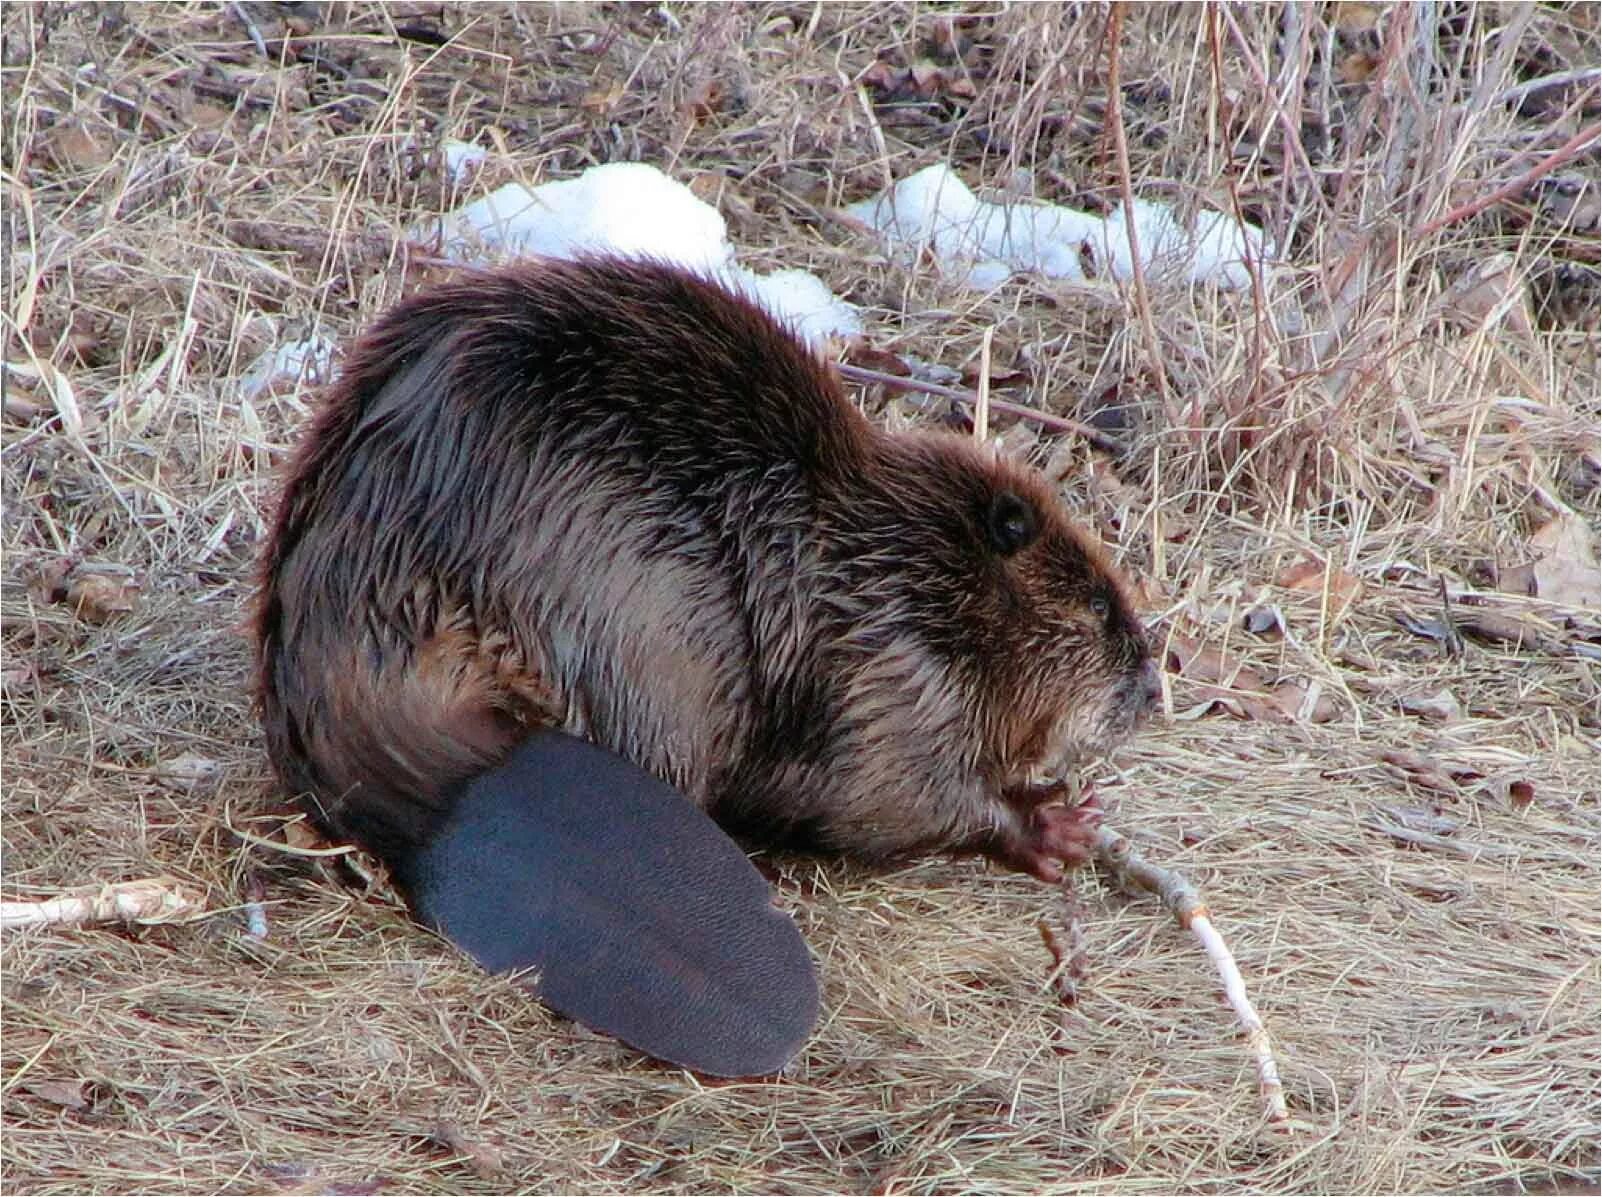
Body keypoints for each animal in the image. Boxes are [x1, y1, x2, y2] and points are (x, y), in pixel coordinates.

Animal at [256, 253, 1159, 1076]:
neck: (885, 564)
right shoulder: (890, 674)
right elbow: (888, 796)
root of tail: (451, 784)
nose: (1152, 689)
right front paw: (1058, 822)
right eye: (1101, 609)